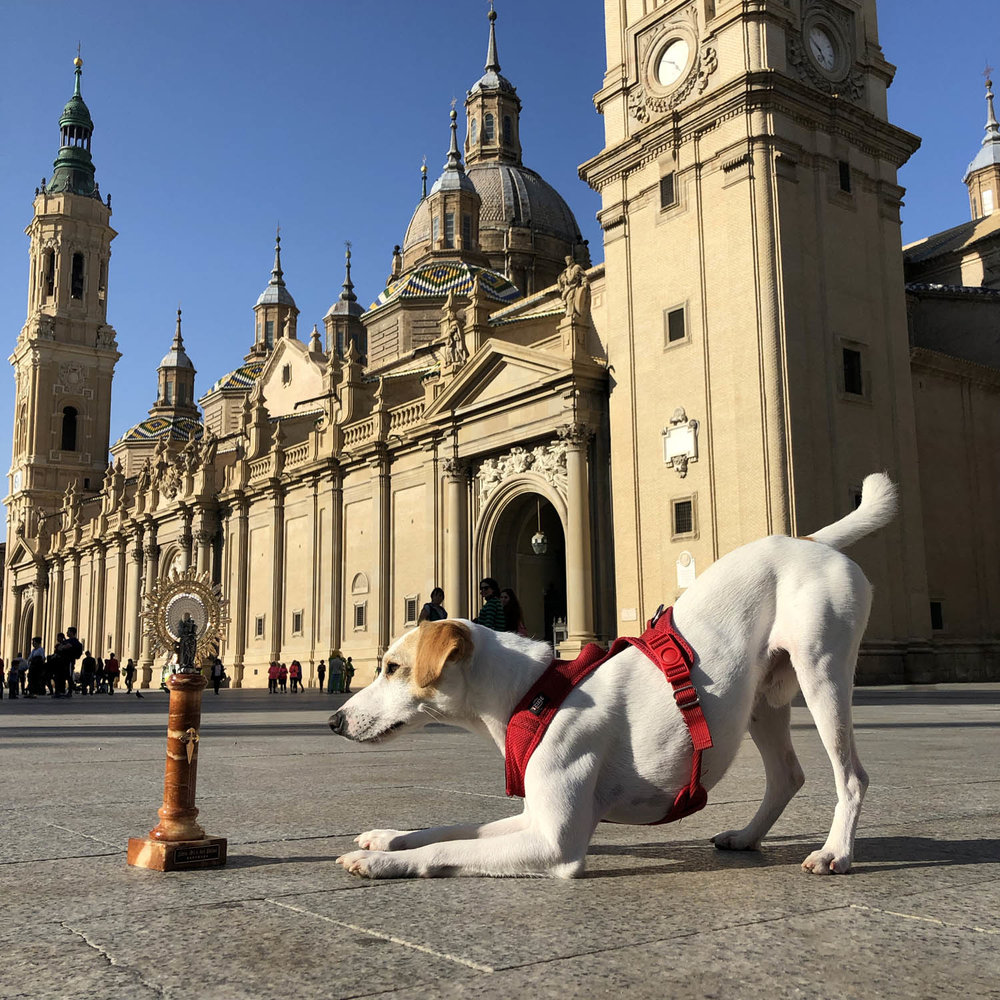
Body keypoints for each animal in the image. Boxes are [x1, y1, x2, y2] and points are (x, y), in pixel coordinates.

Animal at [330, 472, 900, 880]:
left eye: (393, 668)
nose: (334, 721)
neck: (532, 692)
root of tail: (811, 540)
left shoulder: (554, 843)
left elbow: (445, 848)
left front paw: (381, 862)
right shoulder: (533, 817)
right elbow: (447, 828)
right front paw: (386, 837)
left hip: (822, 673)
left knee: (851, 775)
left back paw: (835, 852)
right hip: (763, 700)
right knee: (787, 775)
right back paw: (746, 837)